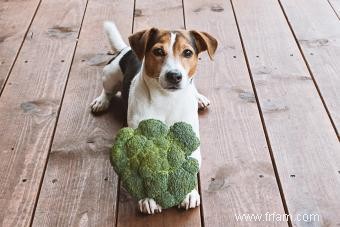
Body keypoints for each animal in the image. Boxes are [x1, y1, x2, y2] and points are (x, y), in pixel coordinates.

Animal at [90, 21, 218, 215]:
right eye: (158, 51)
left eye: (187, 52)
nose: (174, 76)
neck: (166, 99)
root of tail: (126, 49)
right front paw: (148, 198)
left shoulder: (190, 138)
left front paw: (189, 193)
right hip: (109, 74)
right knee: (108, 90)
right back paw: (101, 101)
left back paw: (199, 98)